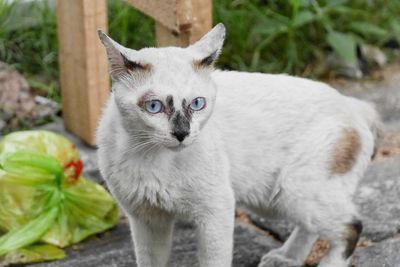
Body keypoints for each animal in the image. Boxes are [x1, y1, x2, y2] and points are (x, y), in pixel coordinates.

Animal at [96, 23, 378, 267]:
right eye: (154, 107)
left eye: (198, 104)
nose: (182, 133)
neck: (152, 157)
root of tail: (352, 105)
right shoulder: (147, 218)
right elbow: (150, 261)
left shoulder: (215, 211)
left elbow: (214, 261)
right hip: (275, 200)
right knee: (313, 227)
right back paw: (285, 258)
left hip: (292, 192)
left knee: (351, 227)